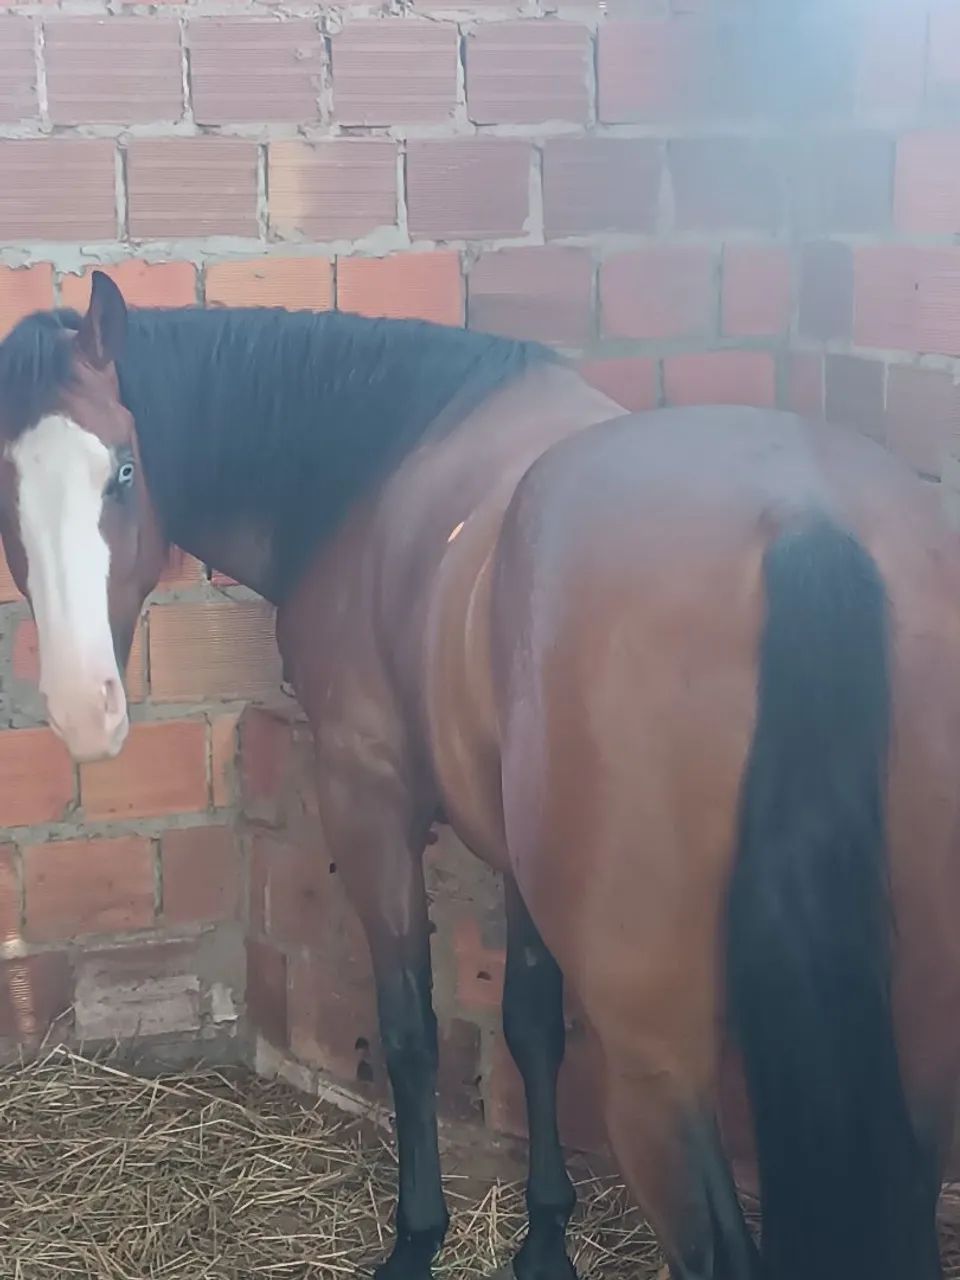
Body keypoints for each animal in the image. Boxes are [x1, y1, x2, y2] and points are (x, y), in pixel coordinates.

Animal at [1, 269, 959, 1280]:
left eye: (124, 470)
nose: (83, 705)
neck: (381, 457)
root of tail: (804, 527)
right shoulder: (516, 852)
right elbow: (531, 1024)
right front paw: (544, 1238)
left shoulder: (370, 800)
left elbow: (412, 1031)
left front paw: (418, 1238)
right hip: (916, 1061)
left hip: (660, 1073)